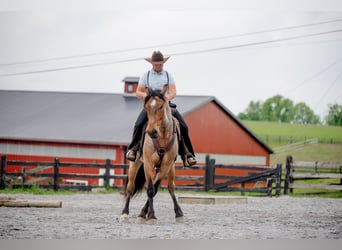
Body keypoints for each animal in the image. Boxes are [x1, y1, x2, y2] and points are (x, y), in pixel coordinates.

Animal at [120, 84, 184, 225]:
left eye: (161, 107)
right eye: (147, 107)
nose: (151, 131)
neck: (162, 136)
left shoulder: (166, 165)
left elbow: (155, 188)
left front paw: (146, 214)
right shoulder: (148, 163)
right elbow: (150, 188)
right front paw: (151, 216)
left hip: (171, 168)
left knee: (171, 187)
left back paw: (178, 213)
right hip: (134, 164)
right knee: (130, 187)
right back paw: (124, 214)